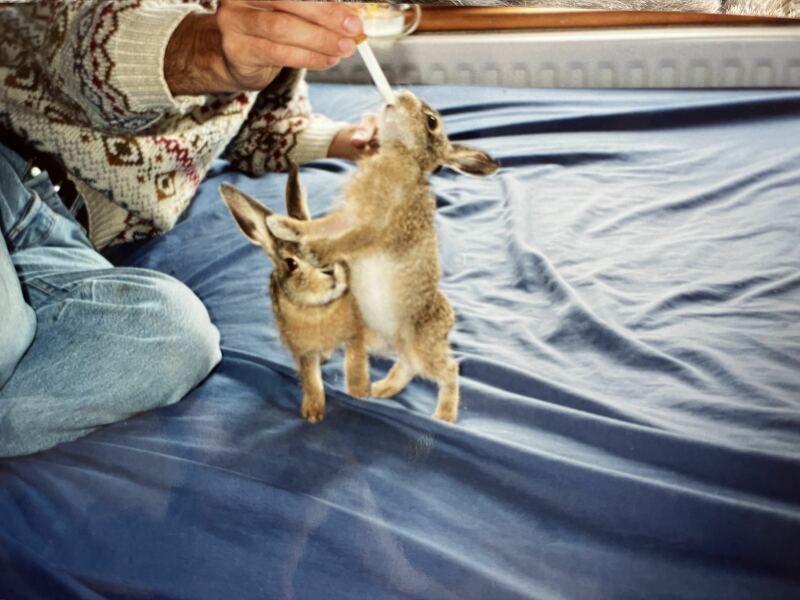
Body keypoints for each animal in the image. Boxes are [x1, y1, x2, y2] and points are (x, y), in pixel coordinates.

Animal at [220, 164, 370, 423]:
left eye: (327, 240)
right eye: (291, 263)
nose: (330, 270)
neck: (319, 307)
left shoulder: (355, 332)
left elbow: (355, 358)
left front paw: (360, 391)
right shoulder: (303, 349)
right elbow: (310, 376)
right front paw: (313, 412)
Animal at [265, 91, 499, 423]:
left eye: (431, 121)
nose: (400, 95)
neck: (401, 155)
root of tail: (449, 321)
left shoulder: (380, 229)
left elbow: (350, 239)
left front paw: (316, 251)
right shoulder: (348, 216)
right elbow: (322, 225)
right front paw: (283, 225)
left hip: (420, 344)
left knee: (449, 370)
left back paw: (444, 415)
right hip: (395, 341)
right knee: (409, 366)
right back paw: (382, 389)